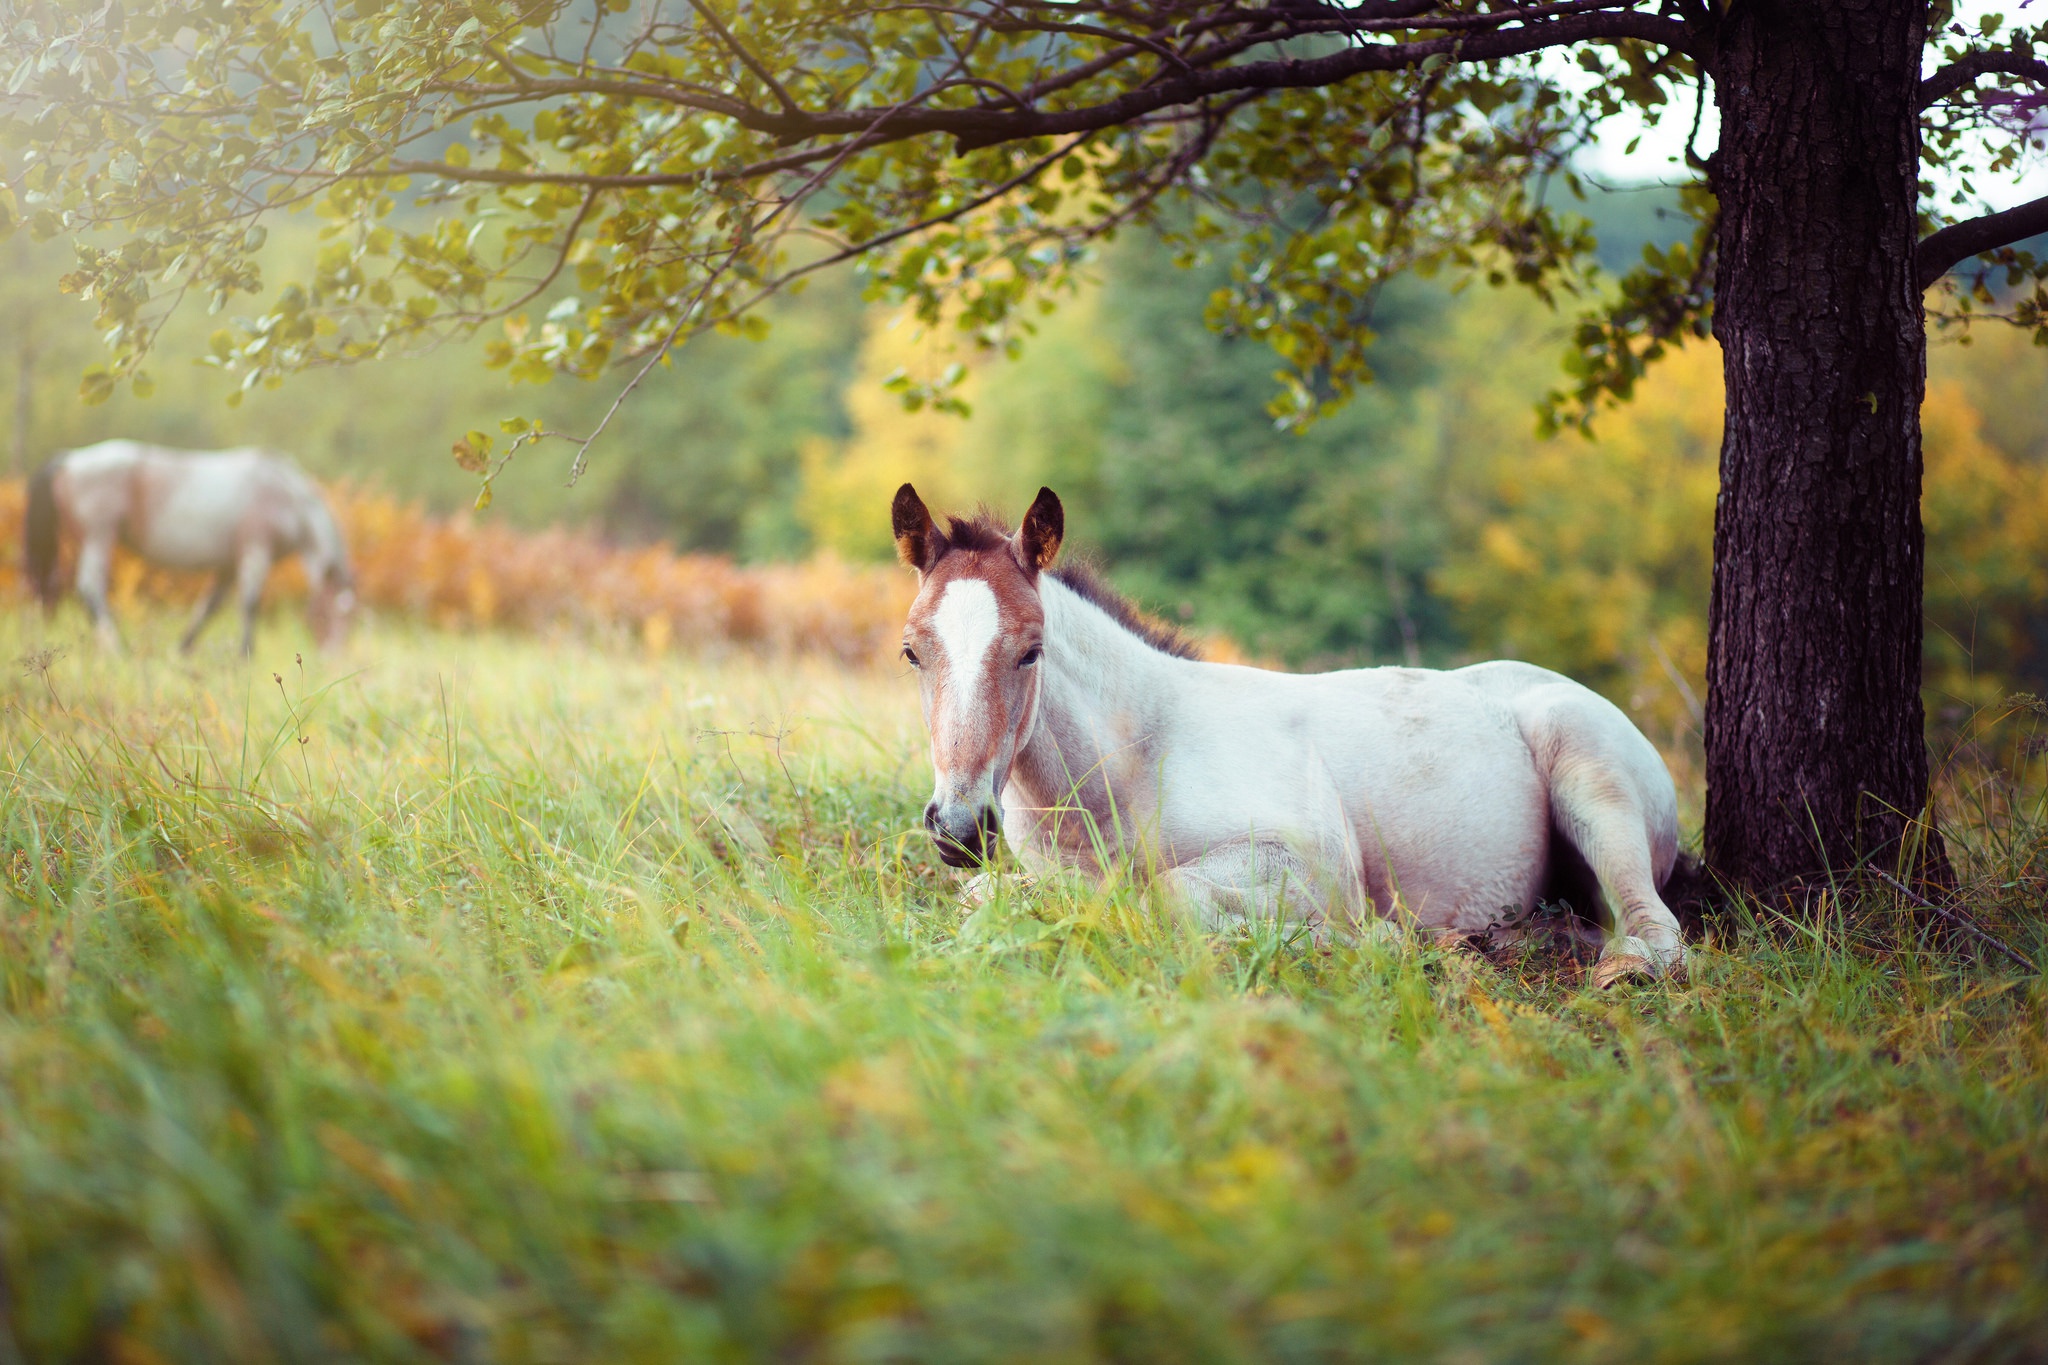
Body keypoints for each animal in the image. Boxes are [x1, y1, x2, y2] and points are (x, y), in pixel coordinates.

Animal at [25, 437, 354, 650]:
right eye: (330, 614)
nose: (333, 655)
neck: (286, 497)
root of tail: (69, 458)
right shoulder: (255, 552)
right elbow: (249, 604)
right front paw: (246, 656)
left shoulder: (228, 565)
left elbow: (208, 607)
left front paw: (183, 648)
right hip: (99, 536)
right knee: (90, 587)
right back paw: (117, 646)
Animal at [888, 485, 1687, 986]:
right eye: (912, 652)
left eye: (1032, 650)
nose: (958, 826)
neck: (1137, 763)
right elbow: (983, 897)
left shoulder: (1309, 860)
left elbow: (1171, 896)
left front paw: (1363, 939)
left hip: (1590, 773)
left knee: (1657, 930)